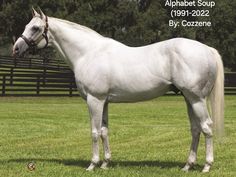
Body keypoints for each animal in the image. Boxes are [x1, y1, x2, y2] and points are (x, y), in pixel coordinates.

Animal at [12, 7, 224, 171]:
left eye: (35, 28)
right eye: (26, 25)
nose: (16, 48)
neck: (88, 53)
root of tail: (207, 49)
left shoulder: (94, 100)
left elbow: (94, 132)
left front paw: (92, 164)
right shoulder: (104, 101)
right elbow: (104, 131)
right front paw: (106, 163)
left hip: (196, 99)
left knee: (206, 127)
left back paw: (207, 166)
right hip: (189, 99)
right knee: (195, 129)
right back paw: (188, 165)